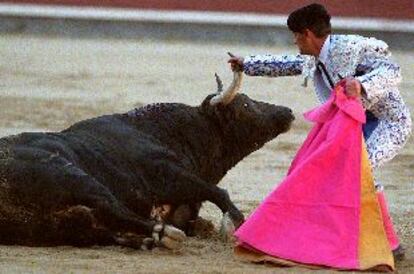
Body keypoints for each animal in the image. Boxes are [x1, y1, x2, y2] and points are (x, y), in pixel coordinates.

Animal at [0, 69, 294, 250]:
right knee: (111, 207)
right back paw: (161, 235)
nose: (288, 111)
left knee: (97, 226)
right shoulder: (167, 174)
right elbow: (217, 191)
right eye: (245, 104)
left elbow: (200, 218)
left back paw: (149, 240)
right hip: (72, 176)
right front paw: (234, 222)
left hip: (49, 226)